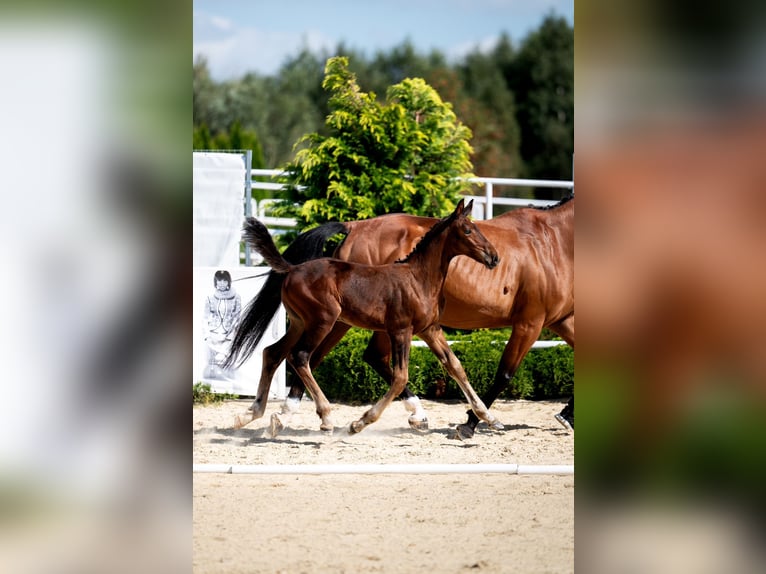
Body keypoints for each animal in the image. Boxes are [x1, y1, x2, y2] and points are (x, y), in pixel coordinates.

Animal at [231, 200, 504, 434]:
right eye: (467, 230)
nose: (494, 257)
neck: (418, 278)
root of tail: (293, 268)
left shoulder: (430, 329)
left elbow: (455, 366)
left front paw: (489, 418)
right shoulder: (401, 331)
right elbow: (400, 377)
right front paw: (359, 423)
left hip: (300, 323)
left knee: (273, 353)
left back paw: (251, 414)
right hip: (323, 321)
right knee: (300, 356)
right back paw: (326, 417)